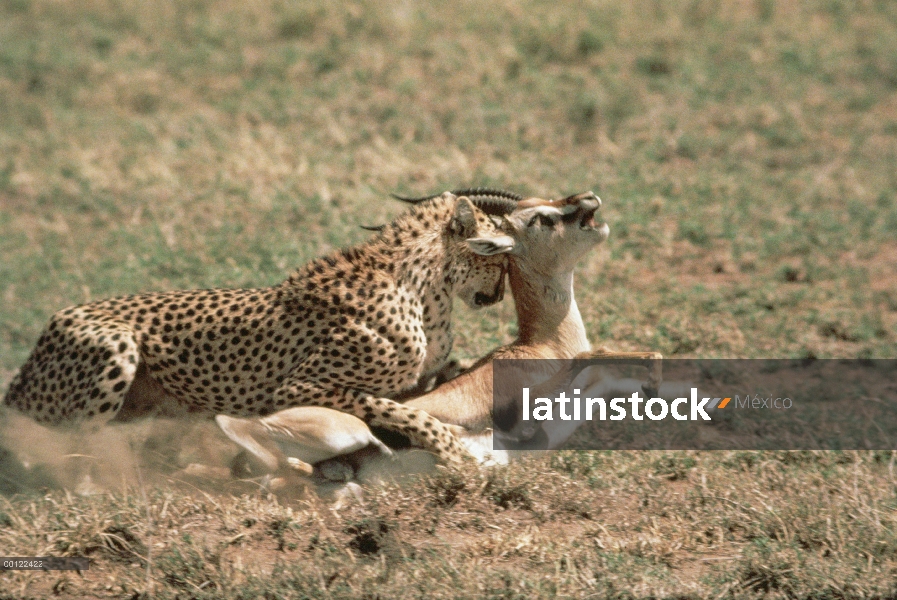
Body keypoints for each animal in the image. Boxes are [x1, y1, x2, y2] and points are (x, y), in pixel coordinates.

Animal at [3, 190, 520, 462]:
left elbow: (450, 373)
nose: (499, 295)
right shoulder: (293, 389)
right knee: (67, 443)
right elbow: (391, 406)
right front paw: (450, 447)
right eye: (498, 257)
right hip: (116, 345)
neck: (424, 289)